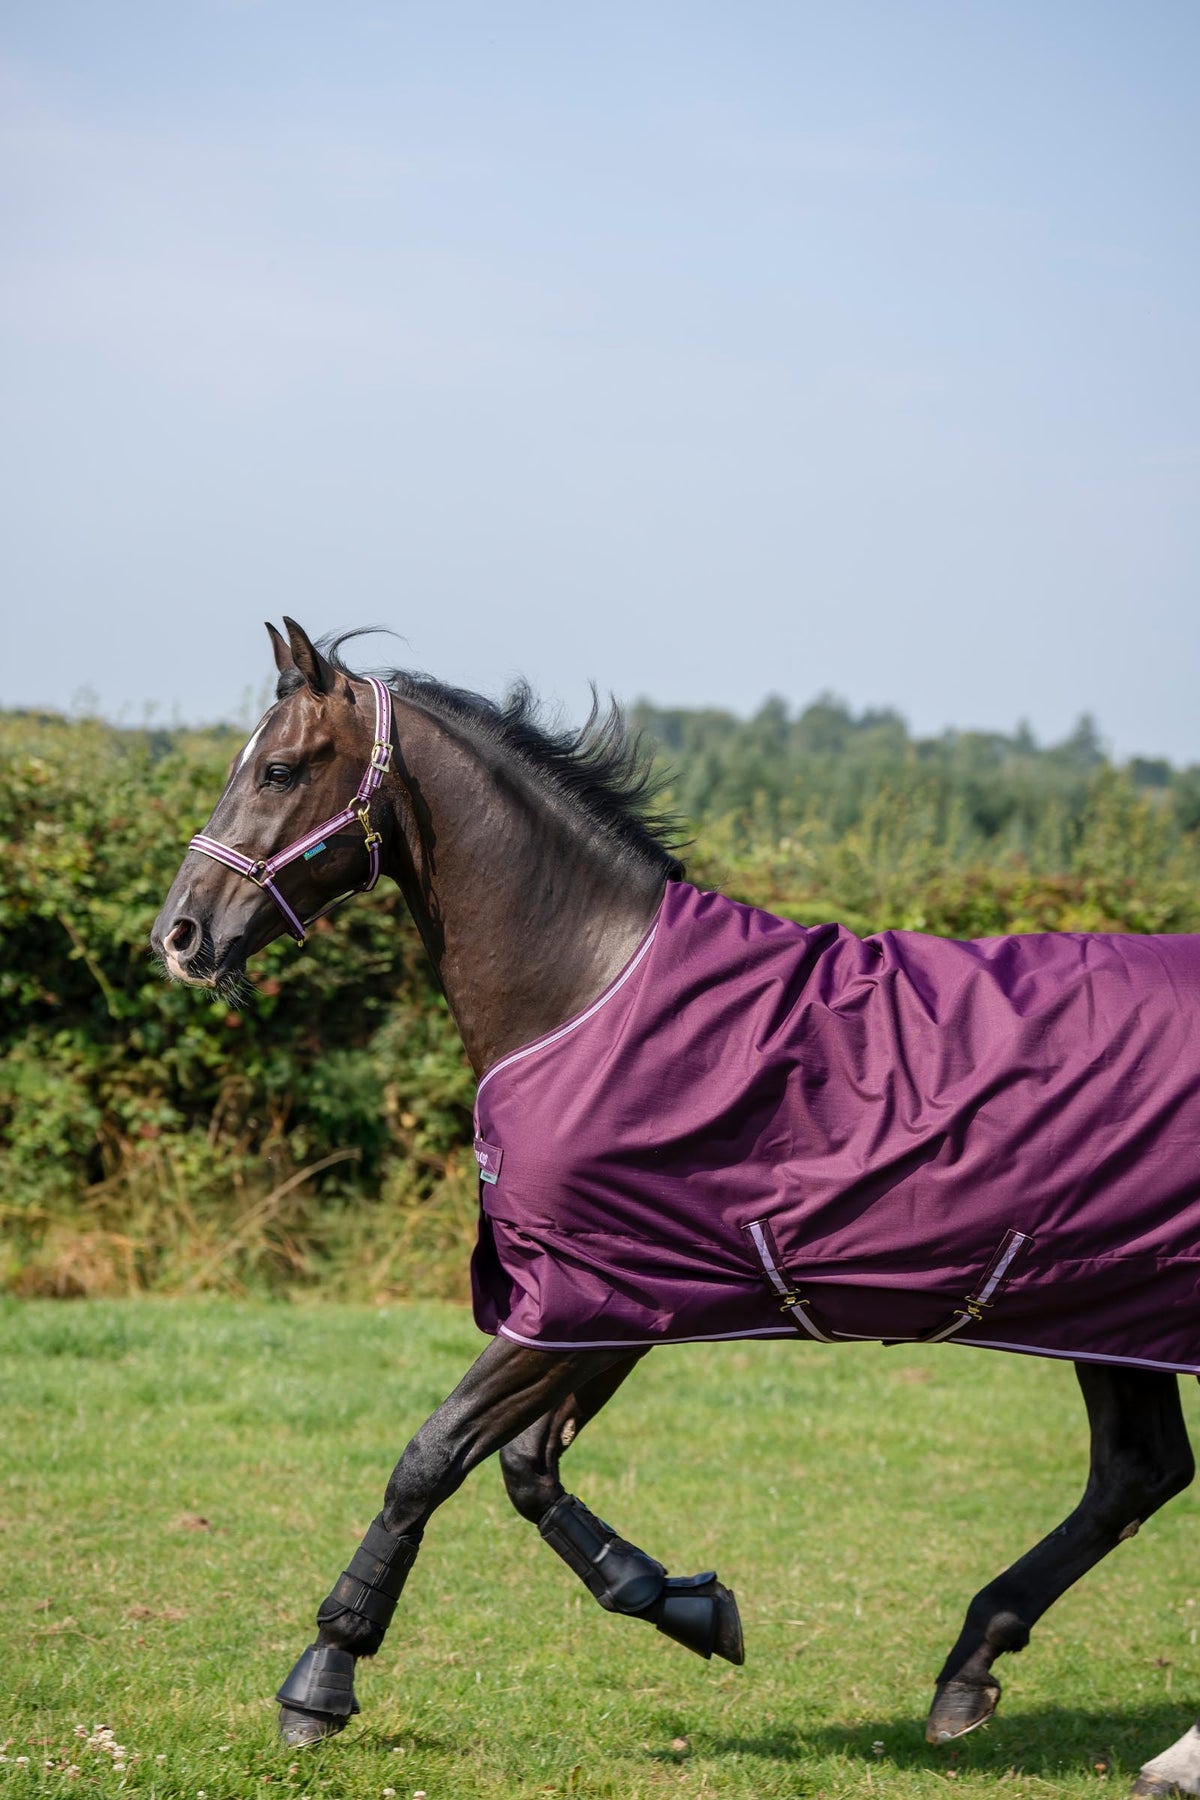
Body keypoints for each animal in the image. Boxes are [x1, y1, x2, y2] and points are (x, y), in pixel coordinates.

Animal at [152, 618, 1200, 1797]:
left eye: (280, 770)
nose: (179, 936)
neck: (589, 992)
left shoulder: (584, 1296)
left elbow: (433, 1456)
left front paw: (321, 1679)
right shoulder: (612, 1307)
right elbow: (526, 1469)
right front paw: (688, 1607)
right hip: (1109, 1308)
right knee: (1137, 1473)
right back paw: (974, 1671)